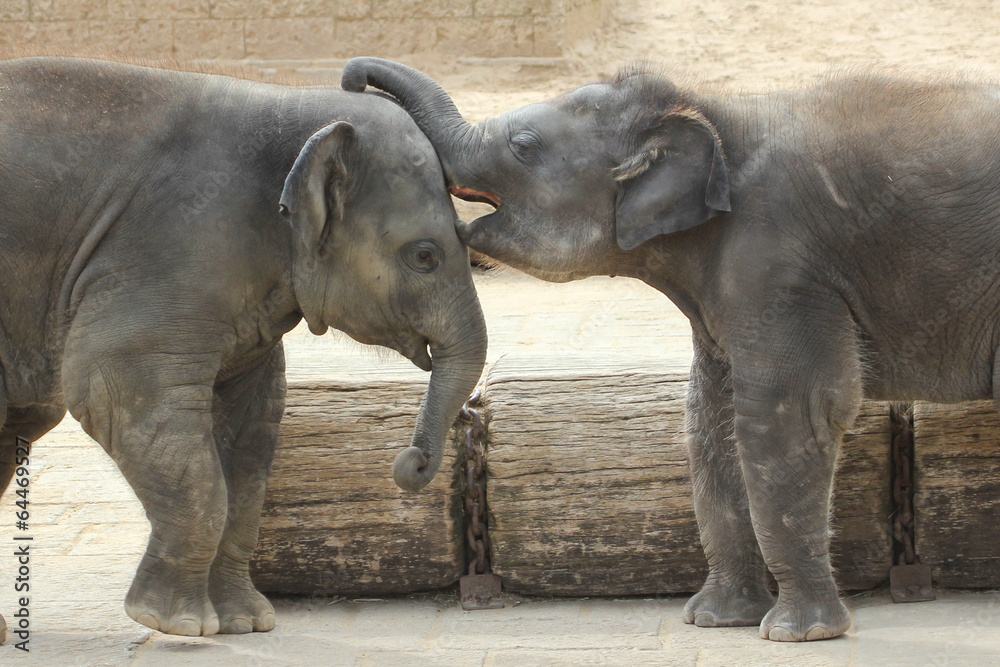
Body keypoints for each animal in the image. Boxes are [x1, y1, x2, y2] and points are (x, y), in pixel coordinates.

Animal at [0, 57, 487, 637]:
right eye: (426, 256)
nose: (409, 463)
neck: (288, 104)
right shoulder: (170, 248)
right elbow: (110, 387)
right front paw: (176, 624)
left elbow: (253, 425)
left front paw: (245, 623)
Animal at [342, 58, 1000, 641]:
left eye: (523, 146)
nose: (350, 81)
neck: (711, 109)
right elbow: (710, 420)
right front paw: (714, 621)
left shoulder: (783, 268)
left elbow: (789, 414)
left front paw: (800, 634)